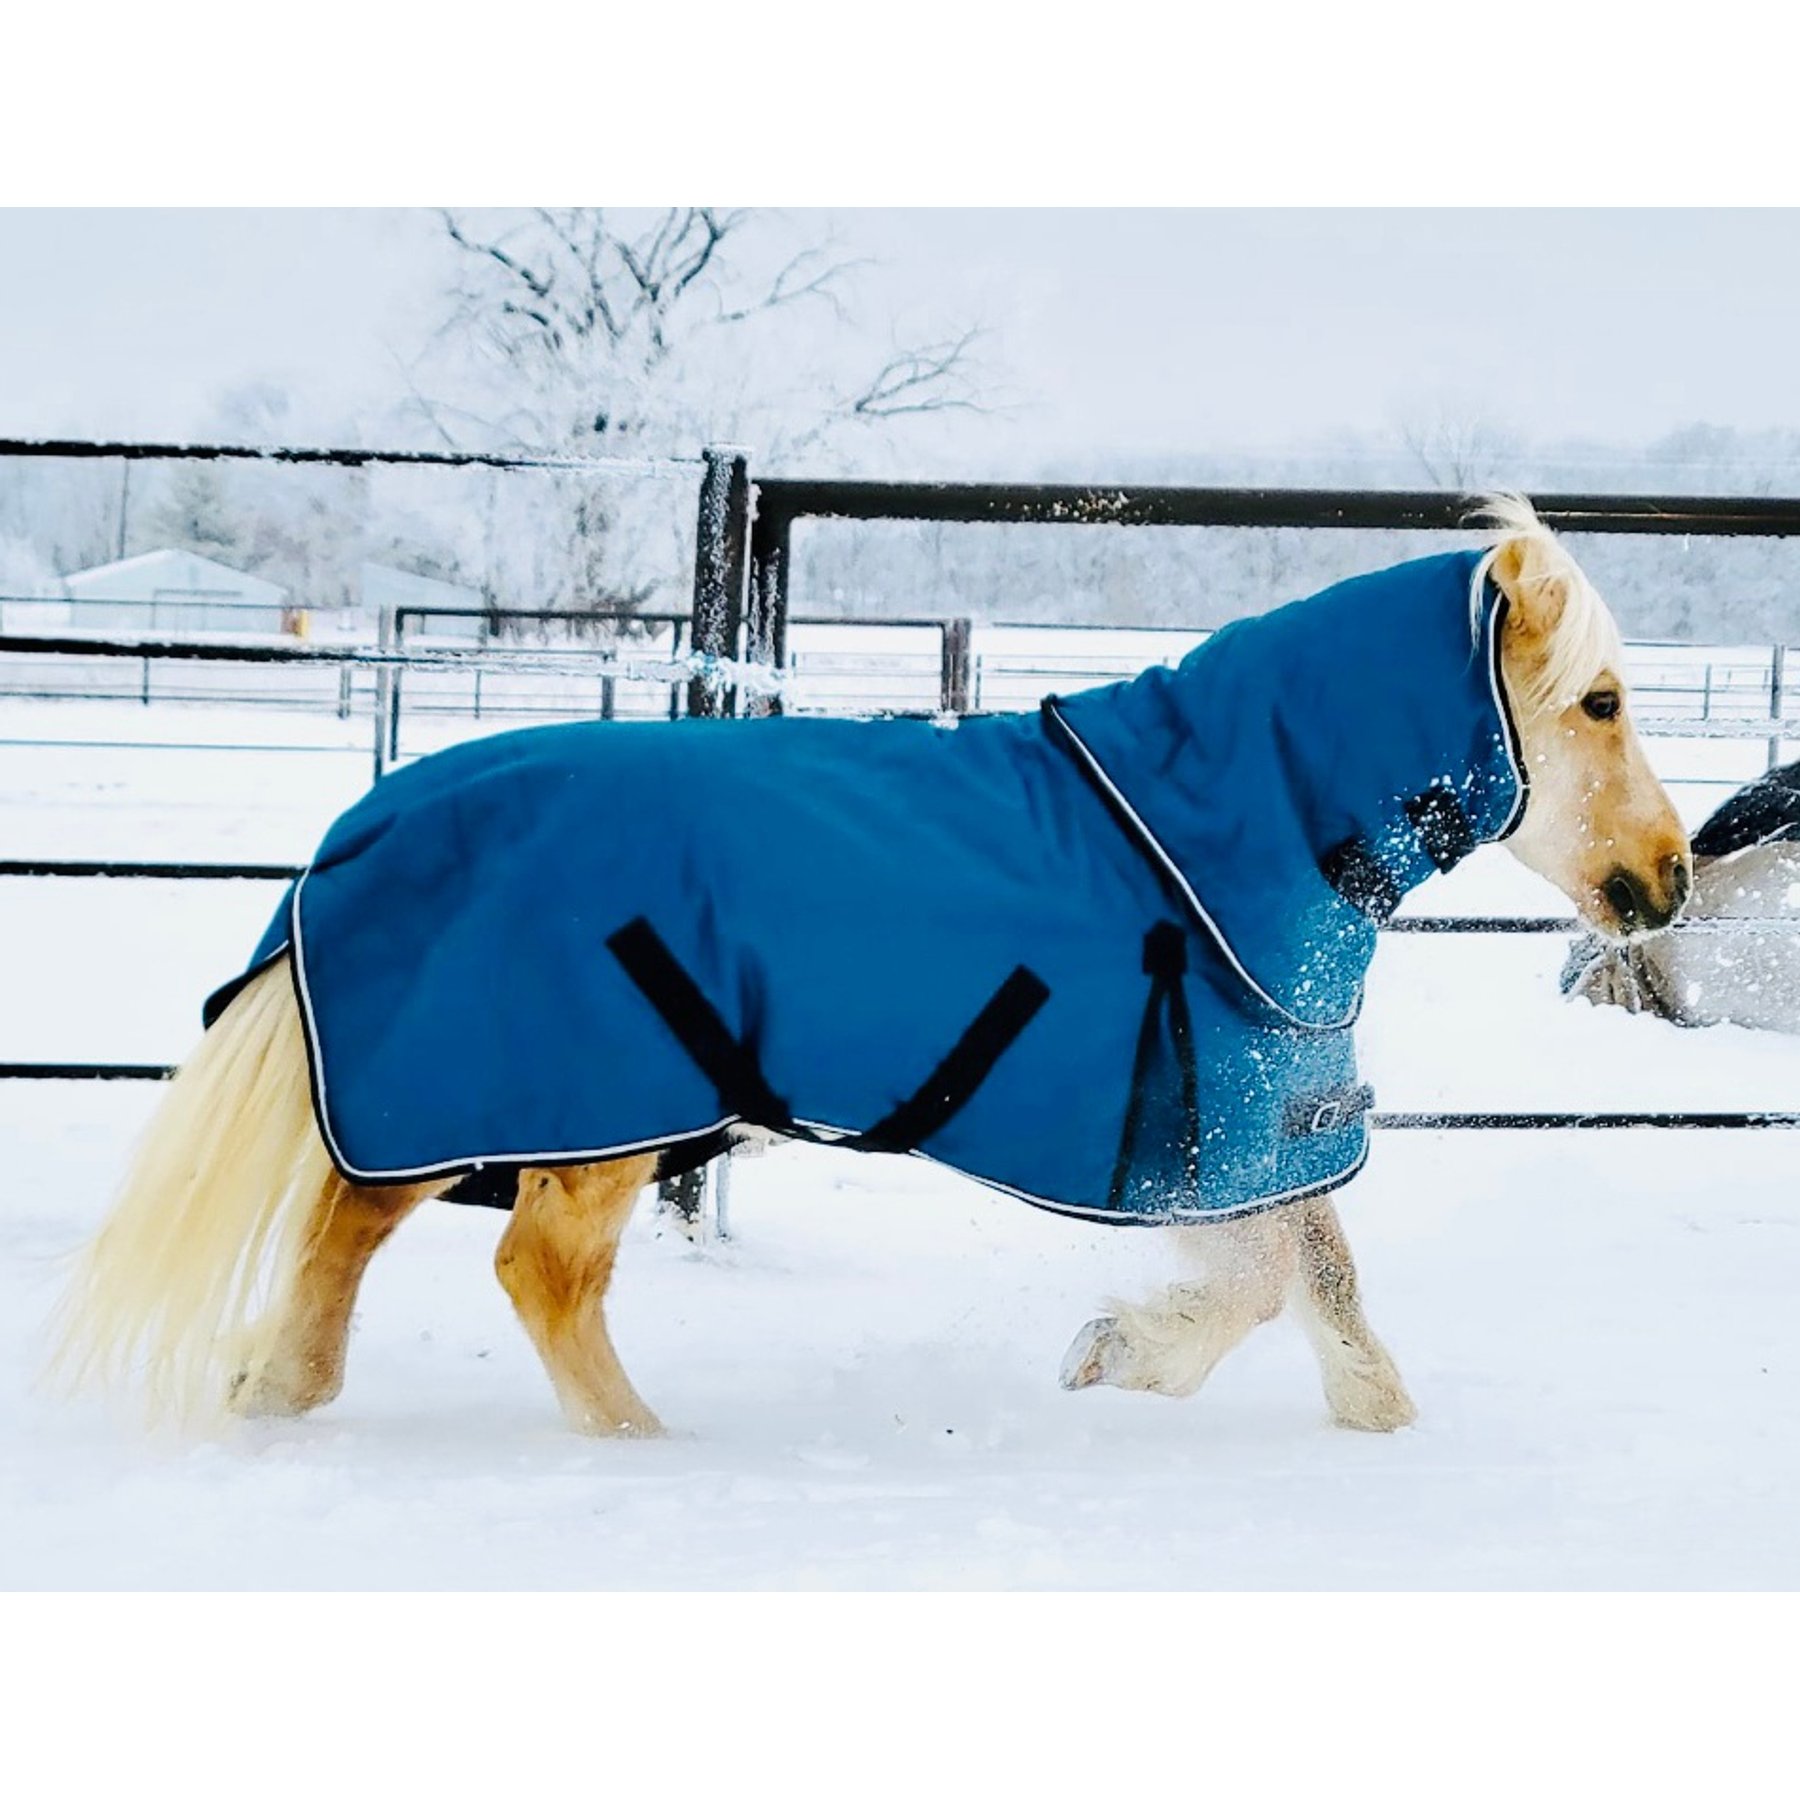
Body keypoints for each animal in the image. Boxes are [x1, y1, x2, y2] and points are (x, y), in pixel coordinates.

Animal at [51, 494, 1691, 1438]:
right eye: (1601, 701)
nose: (1670, 875)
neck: (1223, 827)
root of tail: (372, 825)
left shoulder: (1235, 1120)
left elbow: (1298, 1273)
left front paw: (1166, 1367)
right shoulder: (1220, 1114)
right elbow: (1292, 1278)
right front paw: (1157, 1365)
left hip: (464, 1094)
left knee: (348, 1227)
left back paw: (281, 1390)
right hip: (593, 1105)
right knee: (534, 1272)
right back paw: (638, 1448)